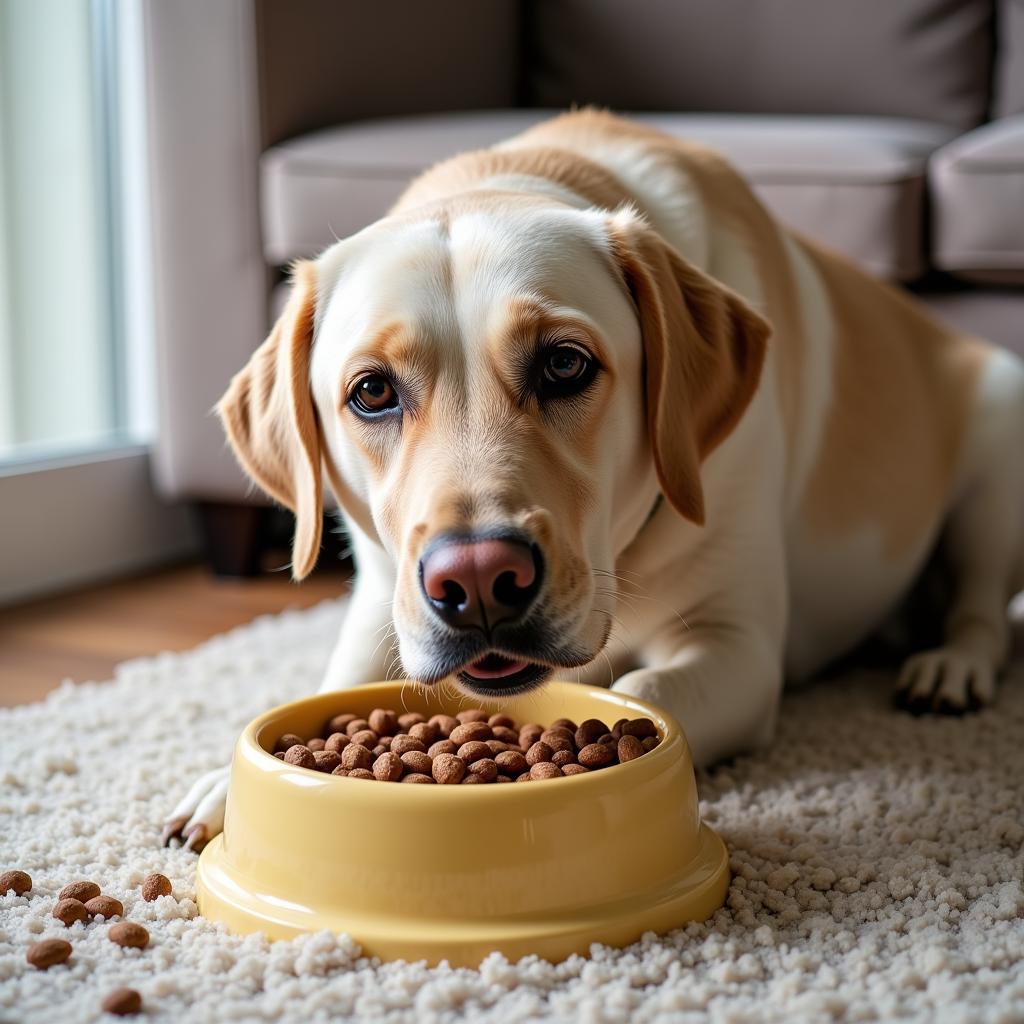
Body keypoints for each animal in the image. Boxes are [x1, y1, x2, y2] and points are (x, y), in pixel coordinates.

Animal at [161, 110, 1024, 847]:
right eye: (371, 392)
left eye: (565, 365)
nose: (478, 580)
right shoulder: (383, 597)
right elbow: (331, 684)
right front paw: (224, 783)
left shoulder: (740, 645)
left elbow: (643, 693)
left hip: (998, 433)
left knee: (983, 611)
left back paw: (948, 667)